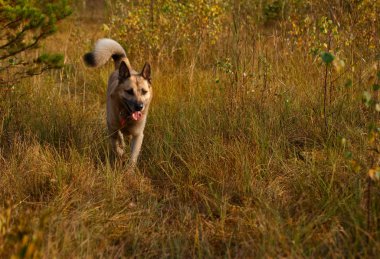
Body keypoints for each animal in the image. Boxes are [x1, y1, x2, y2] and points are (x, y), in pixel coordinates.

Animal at [84, 38, 152, 167]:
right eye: (129, 91)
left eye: (144, 91)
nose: (139, 107)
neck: (127, 116)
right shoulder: (112, 128)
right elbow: (116, 145)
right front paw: (120, 152)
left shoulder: (138, 135)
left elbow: (133, 158)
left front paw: (129, 170)